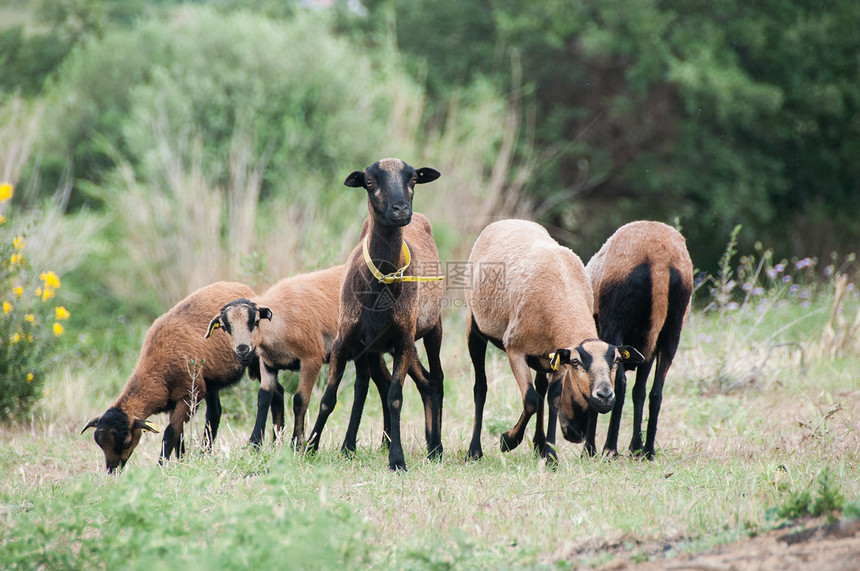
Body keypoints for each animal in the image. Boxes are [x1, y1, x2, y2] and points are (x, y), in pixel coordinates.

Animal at [80, 282, 262, 474]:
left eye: (127, 443)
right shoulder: (175, 400)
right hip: (209, 382)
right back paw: (204, 454)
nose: (112, 470)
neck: (157, 371)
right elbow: (179, 435)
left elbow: (170, 433)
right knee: (214, 414)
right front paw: (181, 462)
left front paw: (161, 466)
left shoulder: (186, 397)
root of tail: (240, 286)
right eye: (101, 445)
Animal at [308, 159, 444, 472]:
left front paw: (397, 459)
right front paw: (308, 448)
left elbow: (395, 397)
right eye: (369, 182)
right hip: (376, 346)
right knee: (377, 384)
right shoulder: (347, 339)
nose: (400, 209)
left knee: (436, 380)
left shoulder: (404, 339)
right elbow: (330, 397)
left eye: (413, 179)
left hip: (432, 328)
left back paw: (436, 448)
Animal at [464, 219, 644, 464]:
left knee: (540, 388)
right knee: (481, 387)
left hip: (542, 357)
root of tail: (508, 220)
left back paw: (539, 444)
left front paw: (550, 455)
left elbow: (552, 399)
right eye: (577, 362)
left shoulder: (559, 355)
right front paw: (507, 440)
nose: (605, 396)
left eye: (616, 361)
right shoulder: (515, 349)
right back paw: (474, 451)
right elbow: (530, 399)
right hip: (475, 327)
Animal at [580, 219, 696, 460]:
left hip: (616, 325)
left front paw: (589, 449)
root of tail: (660, 256)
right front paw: (635, 445)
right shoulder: (645, 353)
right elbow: (640, 392)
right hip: (670, 333)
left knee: (620, 384)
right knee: (655, 391)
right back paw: (647, 450)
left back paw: (610, 449)